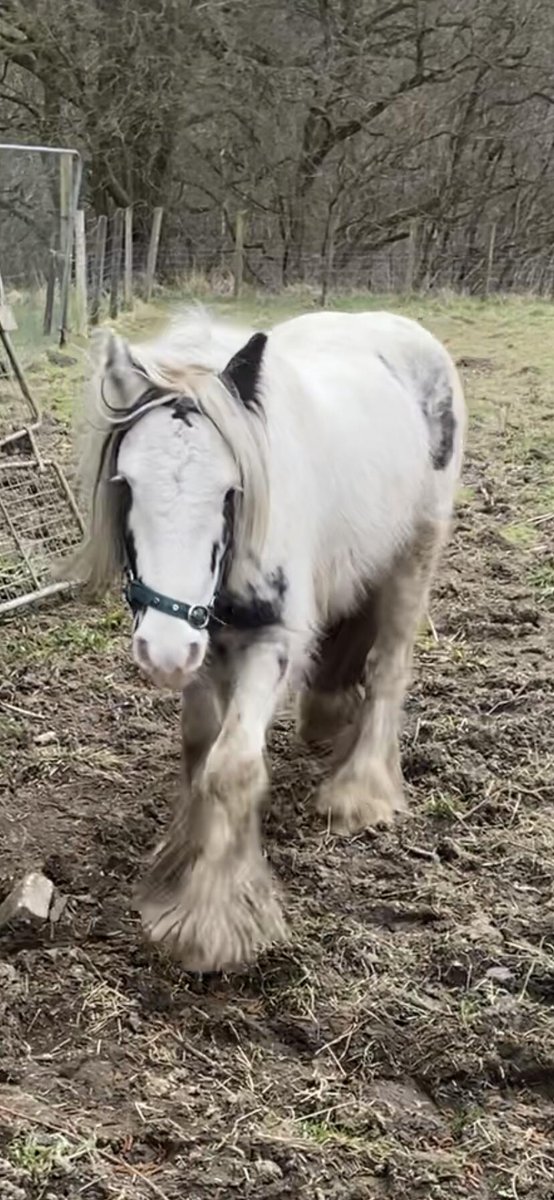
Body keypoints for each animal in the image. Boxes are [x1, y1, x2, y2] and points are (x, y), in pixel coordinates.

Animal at [69, 307, 465, 972]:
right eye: (127, 483)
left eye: (230, 490)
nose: (163, 651)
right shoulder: (202, 644)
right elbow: (200, 747)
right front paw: (183, 865)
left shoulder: (270, 645)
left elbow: (230, 765)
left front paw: (209, 925)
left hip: (417, 550)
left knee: (388, 668)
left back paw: (359, 794)